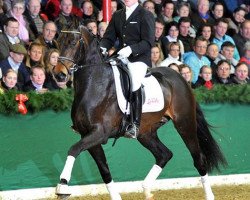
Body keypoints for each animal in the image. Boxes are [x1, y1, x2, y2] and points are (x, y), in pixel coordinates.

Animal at [55, 27, 227, 200]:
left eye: (72, 42)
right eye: (57, 41)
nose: (59, 75)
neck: (95, 84)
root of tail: (181, 79)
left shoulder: (99, 133)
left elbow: (73, 149)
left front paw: (62, 186)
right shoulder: (88, 135)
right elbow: (104, 170)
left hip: (185, 124)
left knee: (198, 159)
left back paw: (208, 195)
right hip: (146, 132)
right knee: (164, 154)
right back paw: (146, 189)